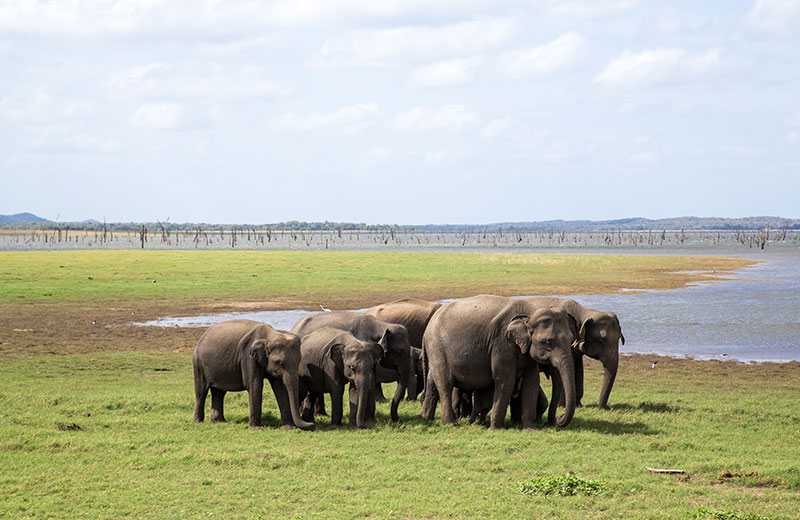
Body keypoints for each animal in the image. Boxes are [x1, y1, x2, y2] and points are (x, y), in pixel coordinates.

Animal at [422, 294, 580, 428]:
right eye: (547, 342)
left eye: (571, 340)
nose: (558, 418)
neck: (530, 310)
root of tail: (428, 326)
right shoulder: (502, 344)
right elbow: (505, 380)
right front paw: (496, 429)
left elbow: (532, 381)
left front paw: (530, 429)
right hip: (437, 348)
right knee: (445, 383)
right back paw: (450, 424)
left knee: (434, 381)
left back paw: (426, 418)